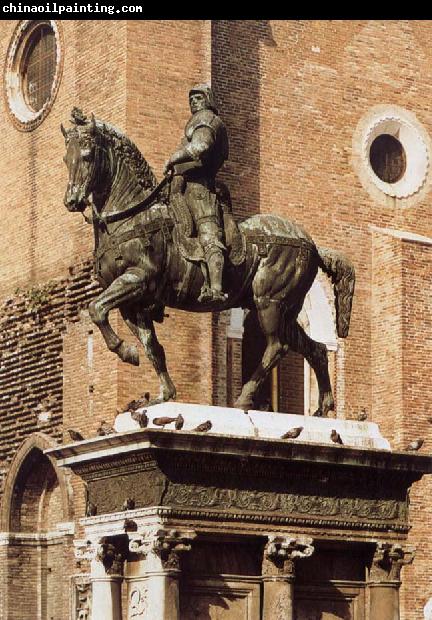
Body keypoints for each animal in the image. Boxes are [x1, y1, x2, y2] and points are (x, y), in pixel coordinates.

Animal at [61, 110, 354, 416]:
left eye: (87, 156)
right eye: (66, 158)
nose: (72, 200)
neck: (134, 216)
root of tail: (312, 245)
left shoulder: (136, 280)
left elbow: (96, 309)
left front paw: (124, 349)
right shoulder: (135, 304)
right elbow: (152, 347)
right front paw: (164, 392)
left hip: (269, 303)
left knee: (277, 346)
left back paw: (244, 399)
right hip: (283, 308)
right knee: (315, 349)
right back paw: (323, 408)